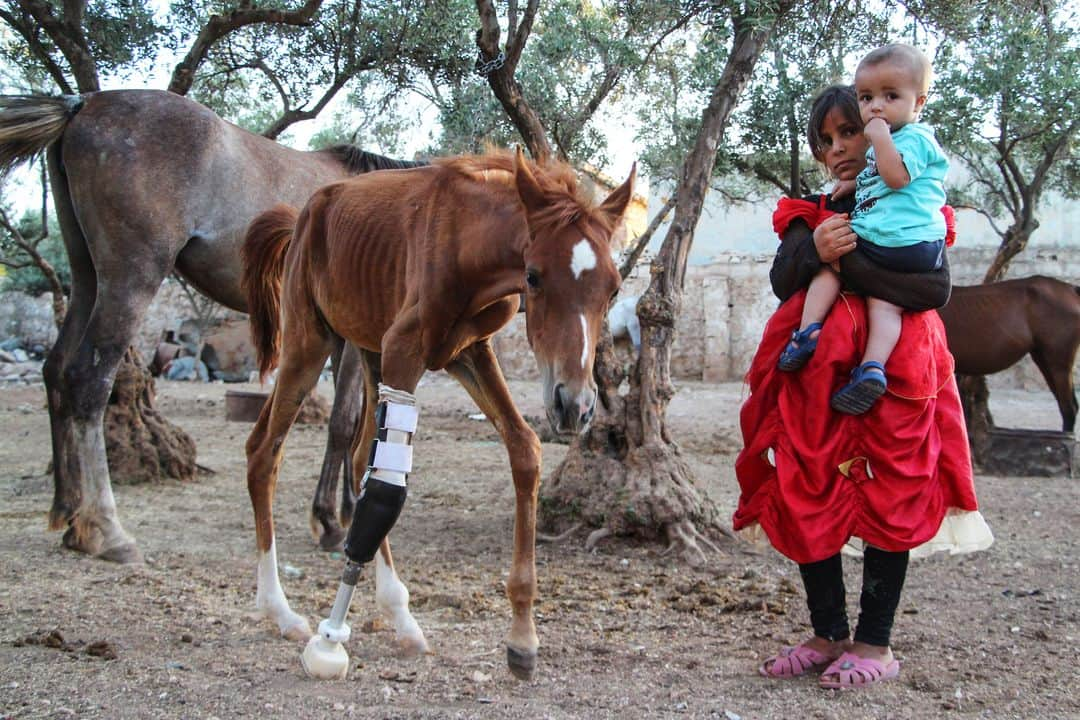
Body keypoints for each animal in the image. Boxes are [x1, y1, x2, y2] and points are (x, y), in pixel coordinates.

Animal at [0, 88, 416, 561]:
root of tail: (83, 104)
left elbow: (366, 422)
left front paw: (346, 512)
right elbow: (345, 423)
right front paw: (331, 522)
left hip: (86, 276)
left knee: (55, 371)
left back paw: (68, 513)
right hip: (131, 278)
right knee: (87, 382)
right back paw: (106, 530)